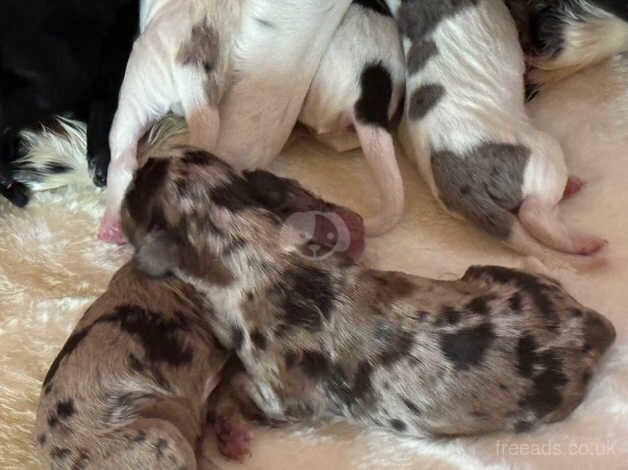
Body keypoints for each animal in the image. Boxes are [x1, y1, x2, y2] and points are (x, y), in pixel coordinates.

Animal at [120, 148, 616, 440]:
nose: (142, 158)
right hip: (492, 272)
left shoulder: (284, 395)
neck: (249, 247)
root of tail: (590, 329)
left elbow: (242, 389)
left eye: (135, 189)